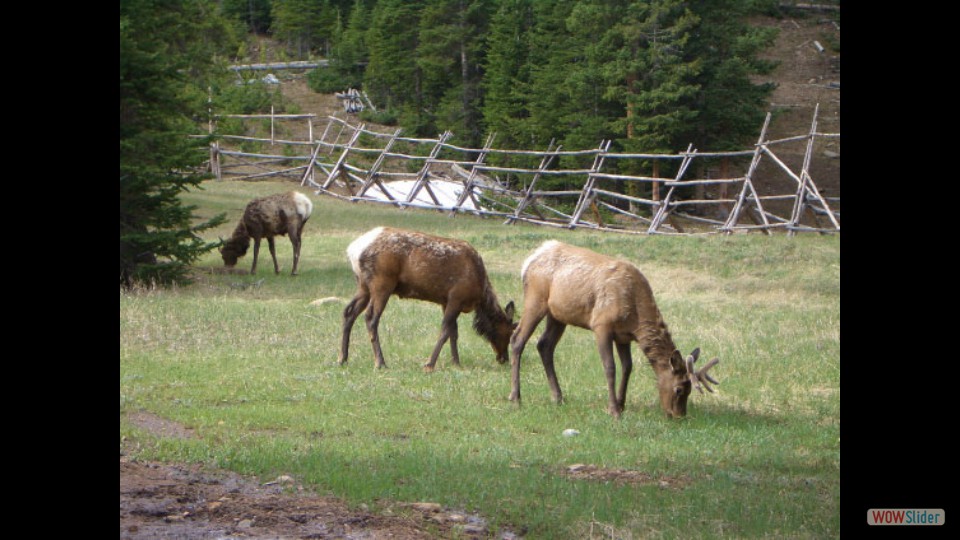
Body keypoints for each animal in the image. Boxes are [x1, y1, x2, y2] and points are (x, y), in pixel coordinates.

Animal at [340, 225, 516, 372]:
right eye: (507, 334)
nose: (504, 359)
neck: (479, 295)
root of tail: (353, 250)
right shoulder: (457, 298)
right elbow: (445, 331)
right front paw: (429, 364)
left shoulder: (446, 301)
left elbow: (453, 333)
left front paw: (456, 362)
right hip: (382, 282)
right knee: (371, 317)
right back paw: (380, 362)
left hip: (363, 285)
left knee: (349, 312)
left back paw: (342, 358)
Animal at [510, 240, 720, 418]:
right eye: (679, 389)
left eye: (690, 389)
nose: (679, 415)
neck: (635, 316)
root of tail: (528, 262)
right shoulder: (601, 325)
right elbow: (610, 367)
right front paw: (613, 410)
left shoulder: (623, 336)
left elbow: (628, 367)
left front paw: (621, 403)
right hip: (535, 299)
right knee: (517, 339)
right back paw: (515, 397)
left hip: (558, 315)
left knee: (544, 345)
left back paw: (558, 397)